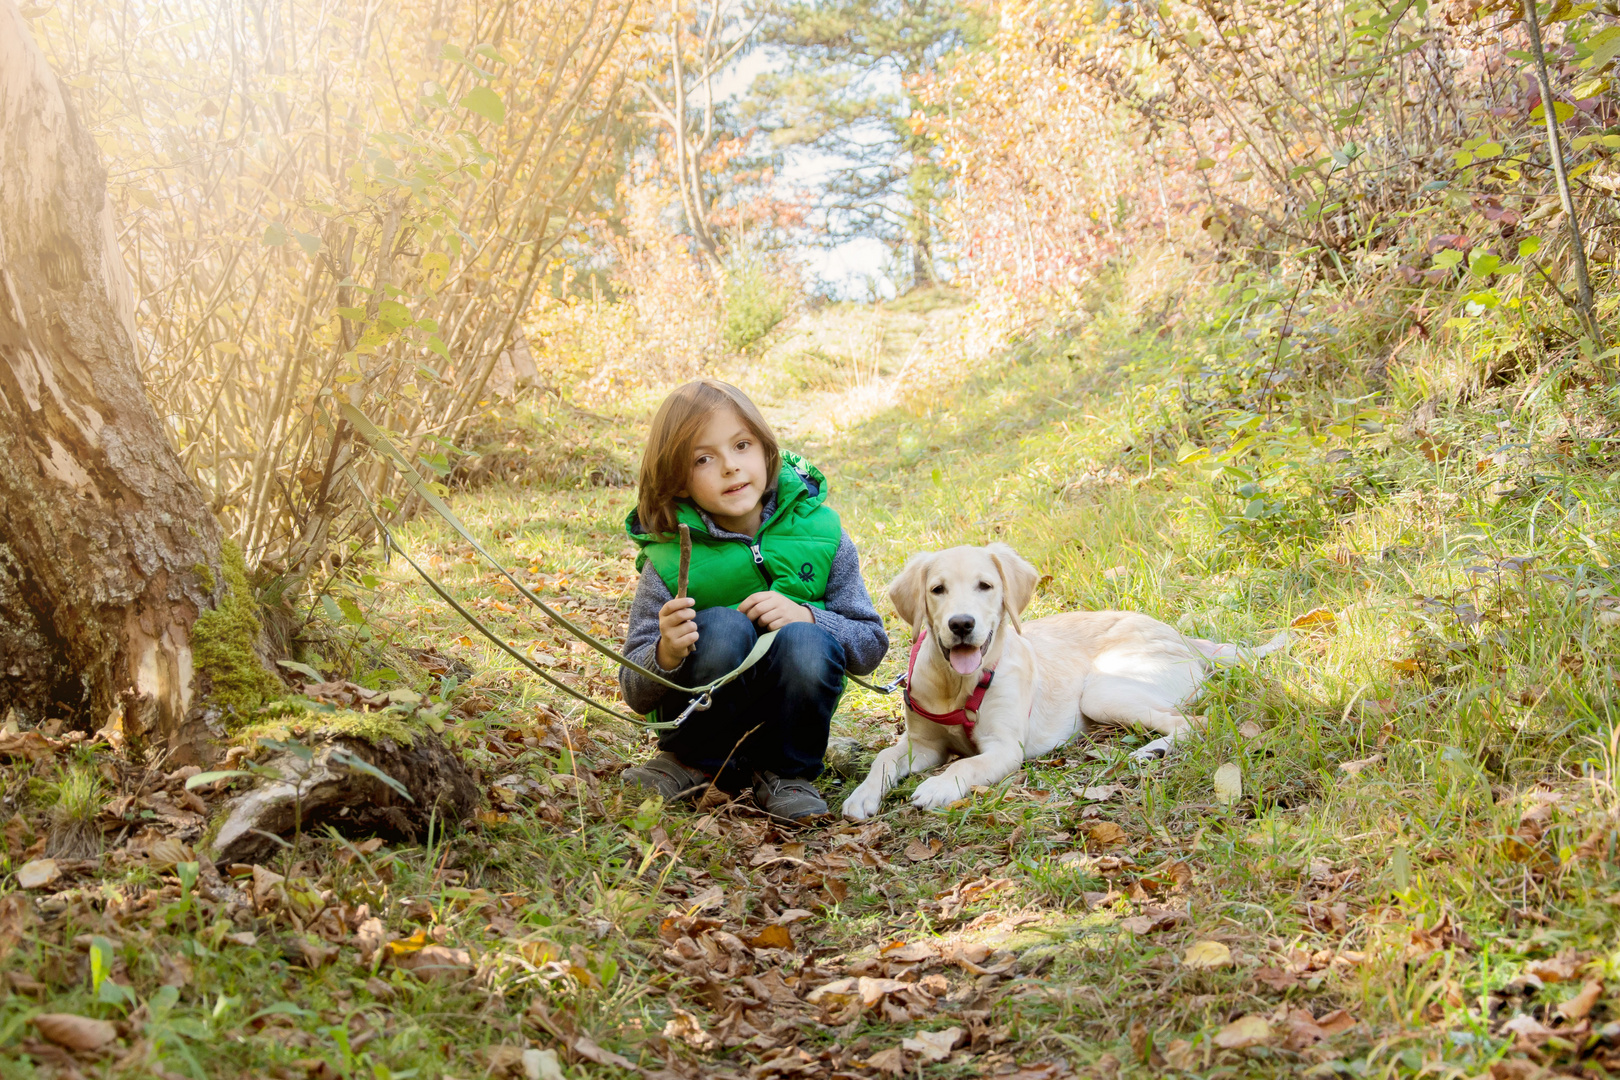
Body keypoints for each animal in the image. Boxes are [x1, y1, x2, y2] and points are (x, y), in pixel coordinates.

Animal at [848, 544, 1289, 816]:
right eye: (937, 589)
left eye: (985, 586)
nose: (961, 624)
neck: (957, 686)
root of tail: (1186, 639)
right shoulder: (922, 744)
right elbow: (883, 758)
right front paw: (862, 795)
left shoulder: (1004, 748)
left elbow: (966, 766)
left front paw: (939, 787)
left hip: (1102, 689)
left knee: (1194, 723)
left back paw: (1152, 752)